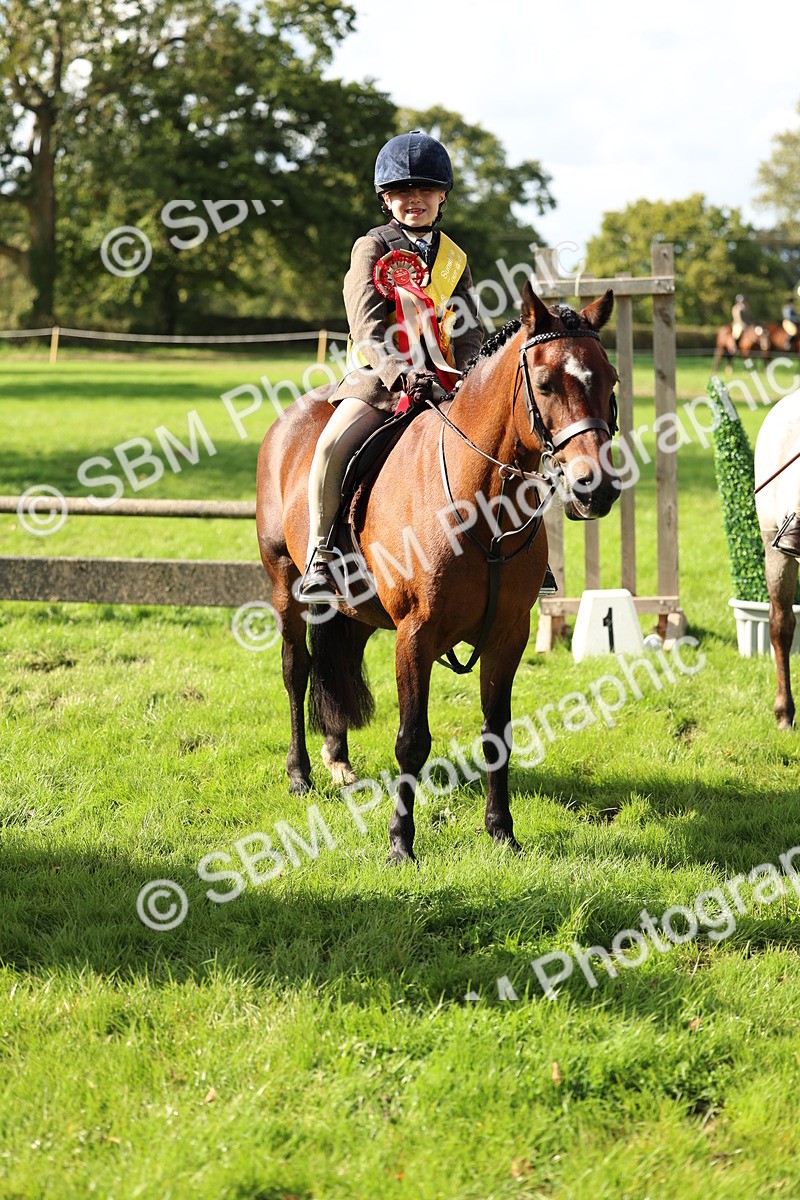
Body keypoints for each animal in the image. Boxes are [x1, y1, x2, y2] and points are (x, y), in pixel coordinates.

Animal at [256, 283, 620, 862]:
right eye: (544, 383)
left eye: (610, 380)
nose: (596, 488)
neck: (483, 502)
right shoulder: (416, 634)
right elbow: (412, 740)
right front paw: (400, 843)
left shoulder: (508, 635)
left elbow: (497, 732)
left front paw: (502, 831)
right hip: (284, 585)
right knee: (297, 670)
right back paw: (300, 773)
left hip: (357, 611)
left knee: (337, 661)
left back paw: (339, 758)